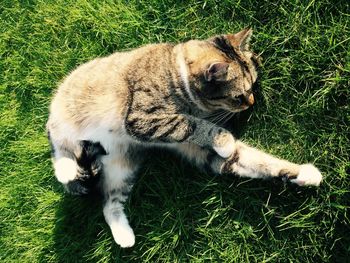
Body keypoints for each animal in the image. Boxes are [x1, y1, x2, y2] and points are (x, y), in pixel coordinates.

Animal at [46, 28, 322, 250]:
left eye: (253, 86)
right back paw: (67, 170)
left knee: (108, 203)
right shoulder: (141, 119)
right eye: (239, 96)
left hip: (122, 169)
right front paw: (223, 139)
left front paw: (303, 173)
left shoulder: (196, 149)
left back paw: (124, 236)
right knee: (61, 158)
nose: (251, 103)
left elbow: (255, 161)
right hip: (60, 127)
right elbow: (191, 124)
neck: (174, 74)